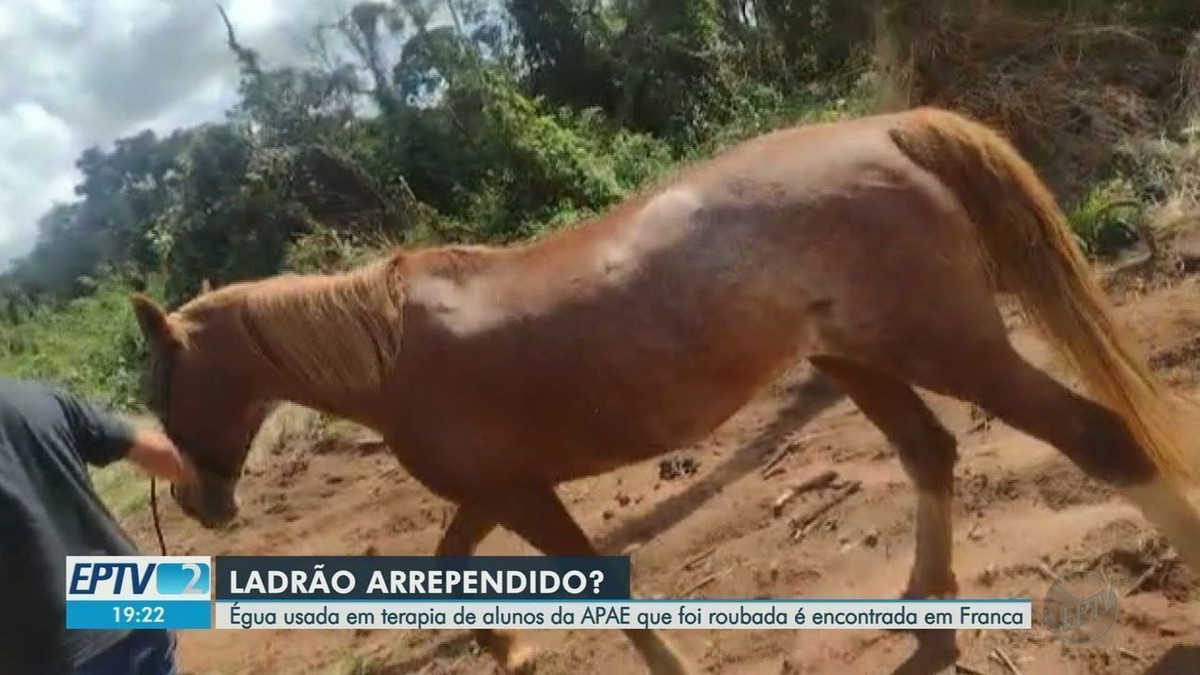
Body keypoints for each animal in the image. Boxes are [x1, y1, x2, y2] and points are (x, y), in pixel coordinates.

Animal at [129, 107, 1200, 667]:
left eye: (159, 381)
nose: (202, 501)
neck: (389, 352)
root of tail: (885, 129)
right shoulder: (495, 491)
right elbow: (450, 565)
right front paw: (504, 647)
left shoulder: (519, 493)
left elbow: (593, 587)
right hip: (856, 360)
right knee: (930, 453)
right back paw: (923, 606)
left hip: (949, 348)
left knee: (1099, 439)